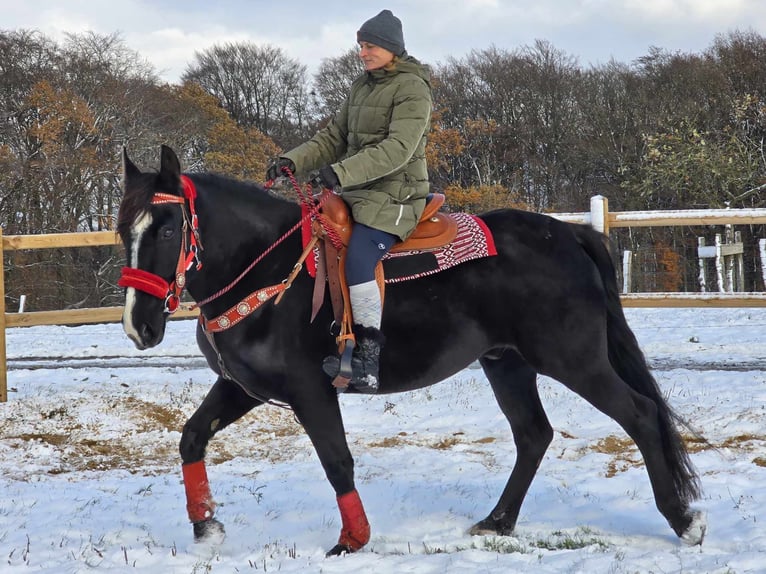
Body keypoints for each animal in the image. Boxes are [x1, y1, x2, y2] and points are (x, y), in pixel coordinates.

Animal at [115, 147, 708, 560]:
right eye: (123, 229)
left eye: (166, 228)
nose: (139, 326)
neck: (266, 269)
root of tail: (568, 235)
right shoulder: (242, 388)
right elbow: (192, 437)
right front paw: (205, 526)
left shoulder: (311, 390)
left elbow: (337, 460)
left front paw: (352, 540)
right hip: (507, 363)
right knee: (533, 434)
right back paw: (498, 521)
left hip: (573, 360)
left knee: (640, 414)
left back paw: (684, 520)